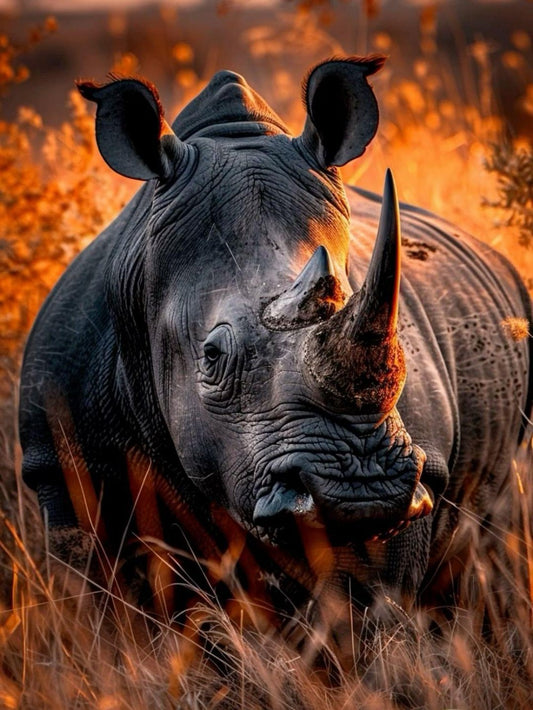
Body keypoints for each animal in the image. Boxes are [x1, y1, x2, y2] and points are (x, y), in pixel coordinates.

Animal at [19, 56, 532, 619]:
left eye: (401, 349)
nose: (361, 488)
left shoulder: (421, 479)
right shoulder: (63, 465)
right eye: (212, 356)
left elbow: (369, 610)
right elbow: (106, 607)